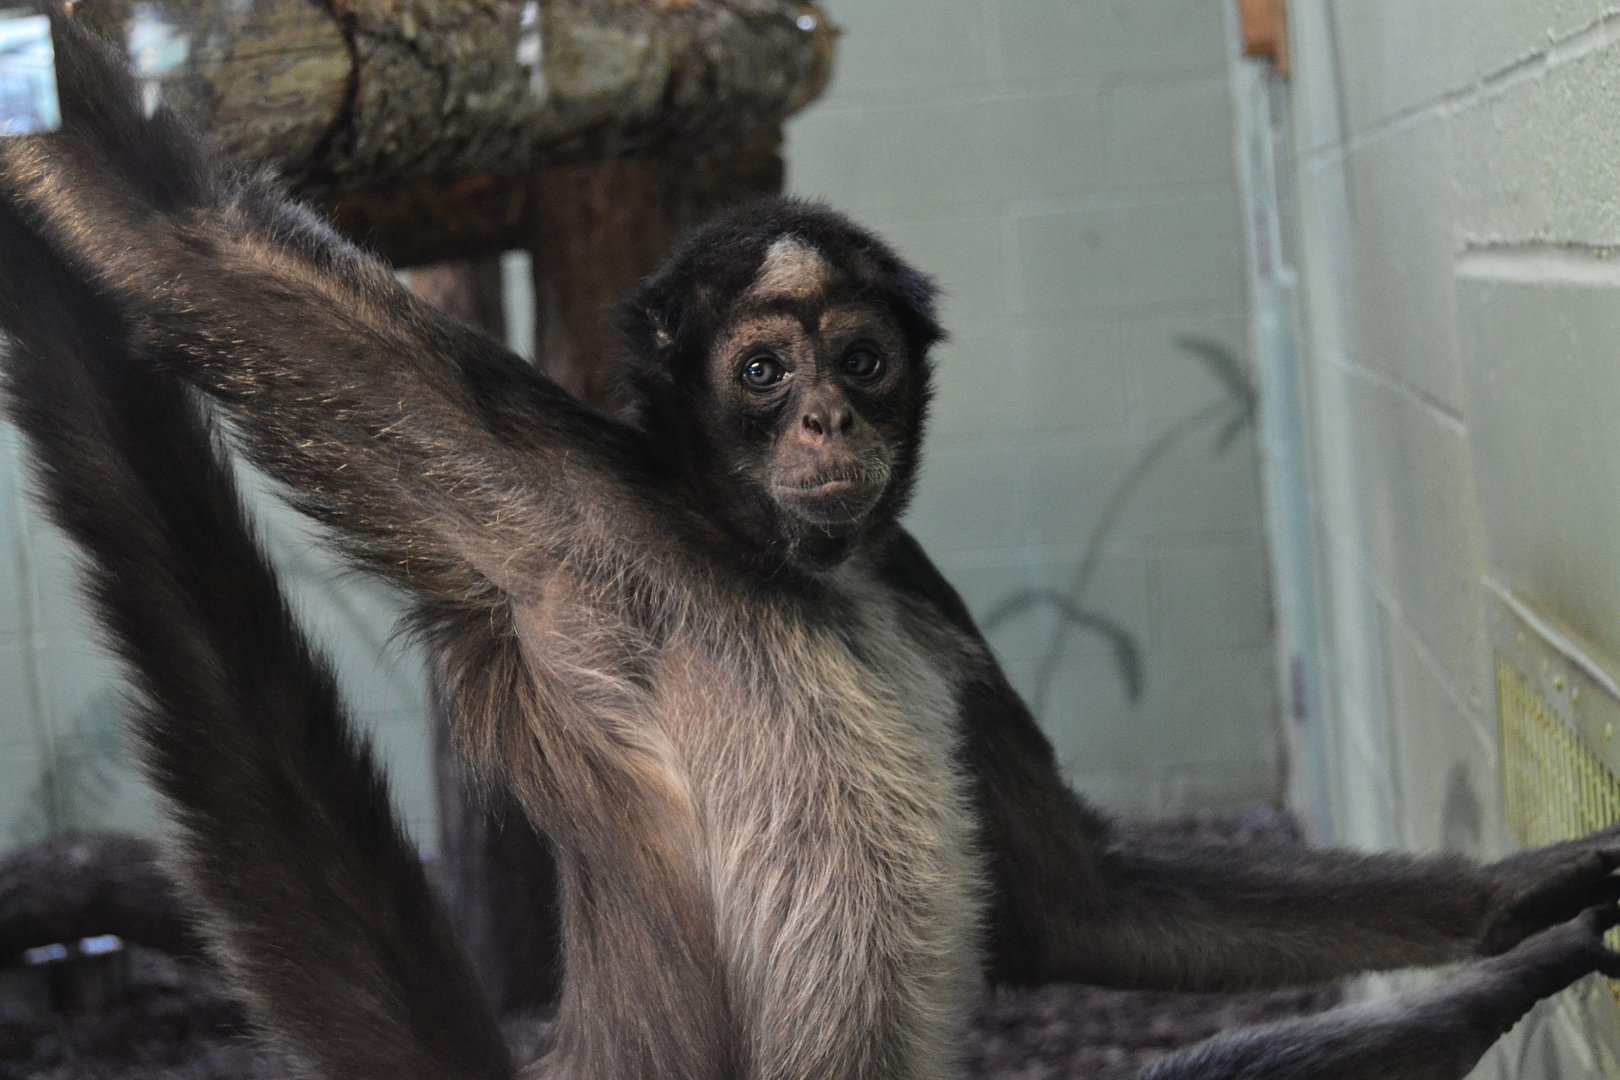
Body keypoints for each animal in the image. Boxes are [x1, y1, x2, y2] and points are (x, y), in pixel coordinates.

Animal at [4, 14, 1620, 1080]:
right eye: (765, 372)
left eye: (863, 361)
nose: (831, 424)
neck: (773, 566)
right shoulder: (554, 504)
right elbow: (176, 245)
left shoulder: (912, 580)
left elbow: (1072, 908)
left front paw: (1514, 908)